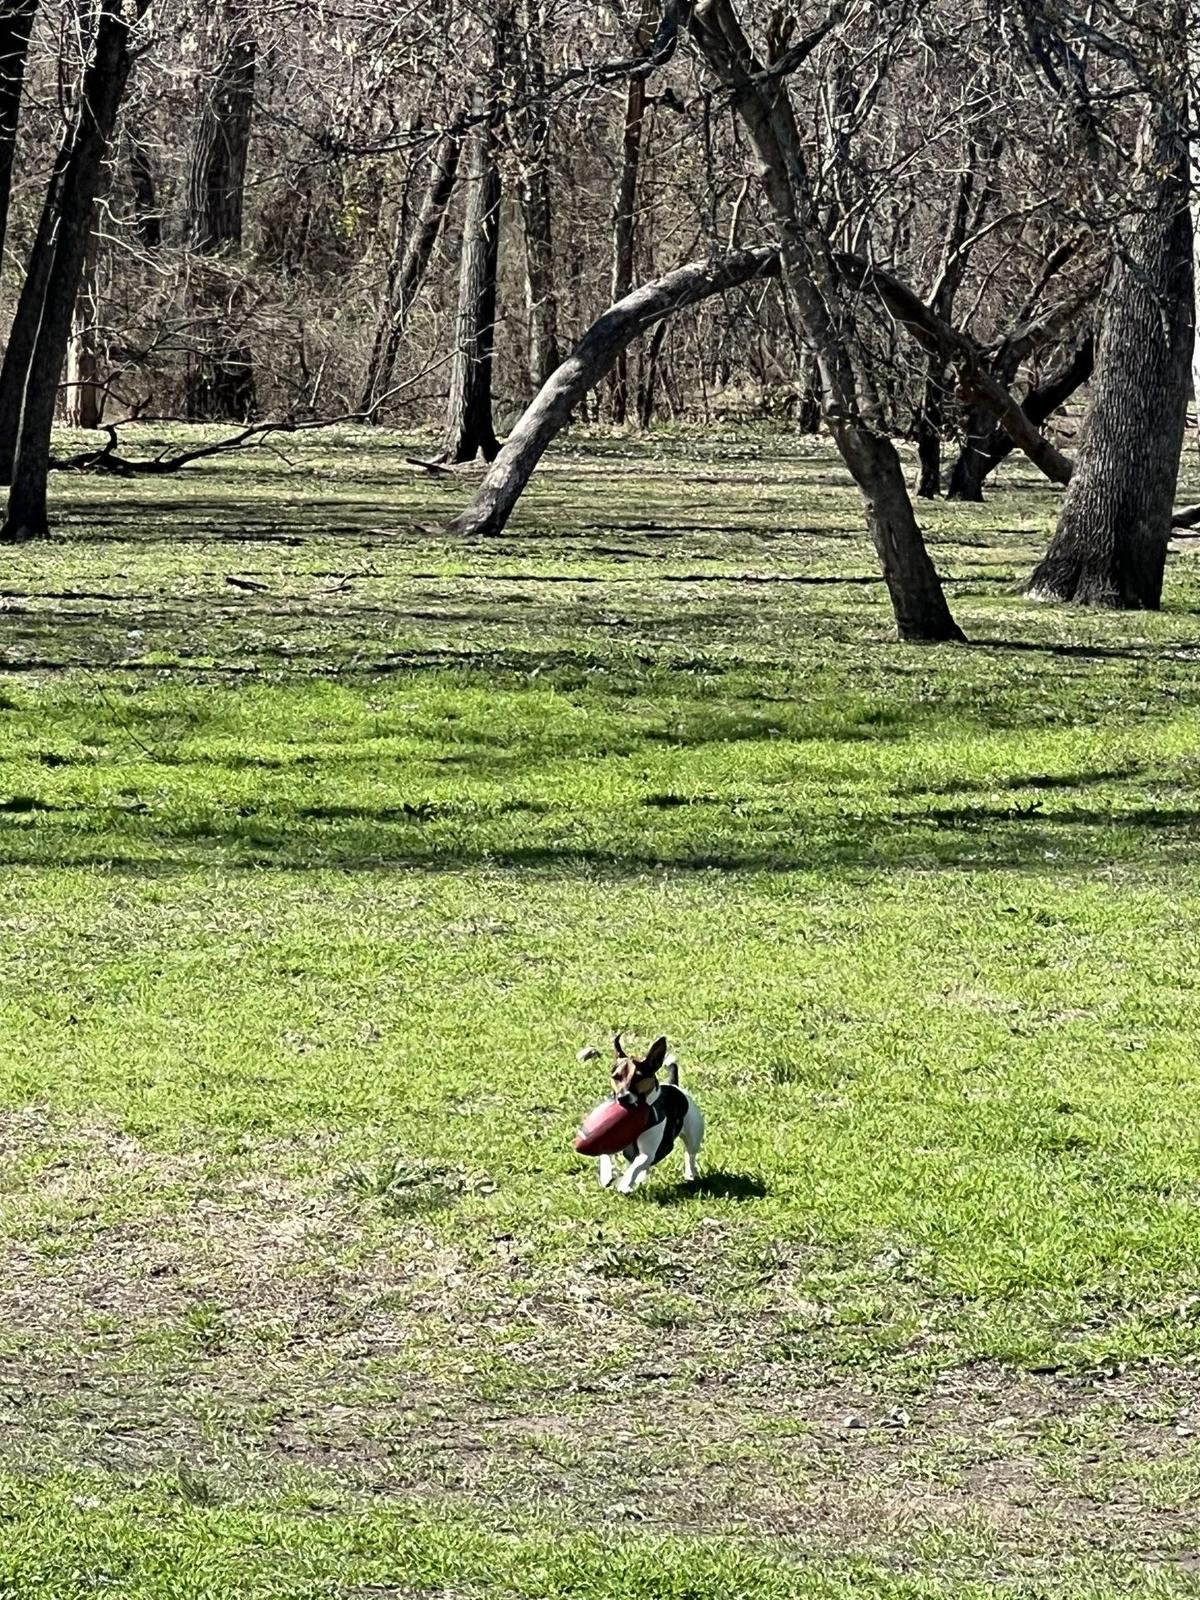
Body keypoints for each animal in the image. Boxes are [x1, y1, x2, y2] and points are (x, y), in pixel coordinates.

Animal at [579, 1030, 704, 1196]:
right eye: (616, 1077)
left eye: (638, 1078)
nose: (622, 1097)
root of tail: (674, 1085)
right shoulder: (610, 1141)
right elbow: (605, 1154)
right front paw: (607, 1174)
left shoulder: (647, 1153)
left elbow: (635, 1167)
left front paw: (625, 1183)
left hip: (693, 1134)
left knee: (690, 1155)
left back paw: (690, 1173)